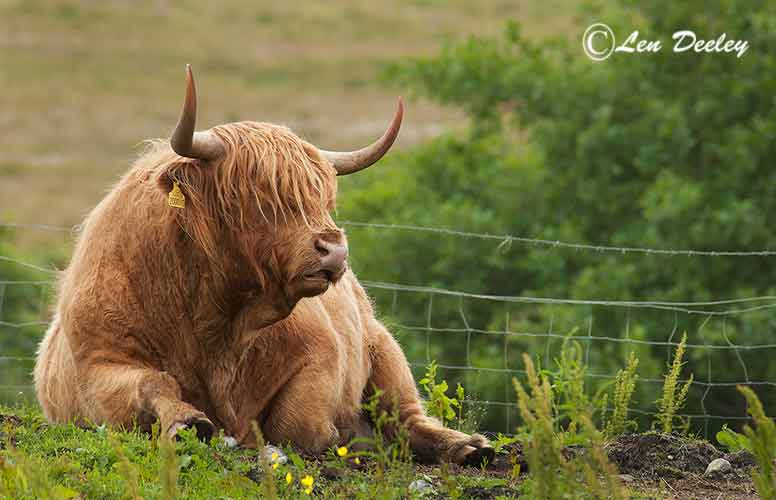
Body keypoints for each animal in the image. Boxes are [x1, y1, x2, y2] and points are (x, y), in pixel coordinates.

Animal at [34, 65, 492, 464]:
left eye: (324, 197)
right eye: (257, 195)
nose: (334, 250)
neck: (215, 321)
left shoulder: (320, 356)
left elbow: (297, 424)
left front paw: (342, 436)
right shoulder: (98, 367)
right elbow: (155, 382)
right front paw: (187, 422)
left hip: (383, 347)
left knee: (406, 415)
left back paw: (469, 446)